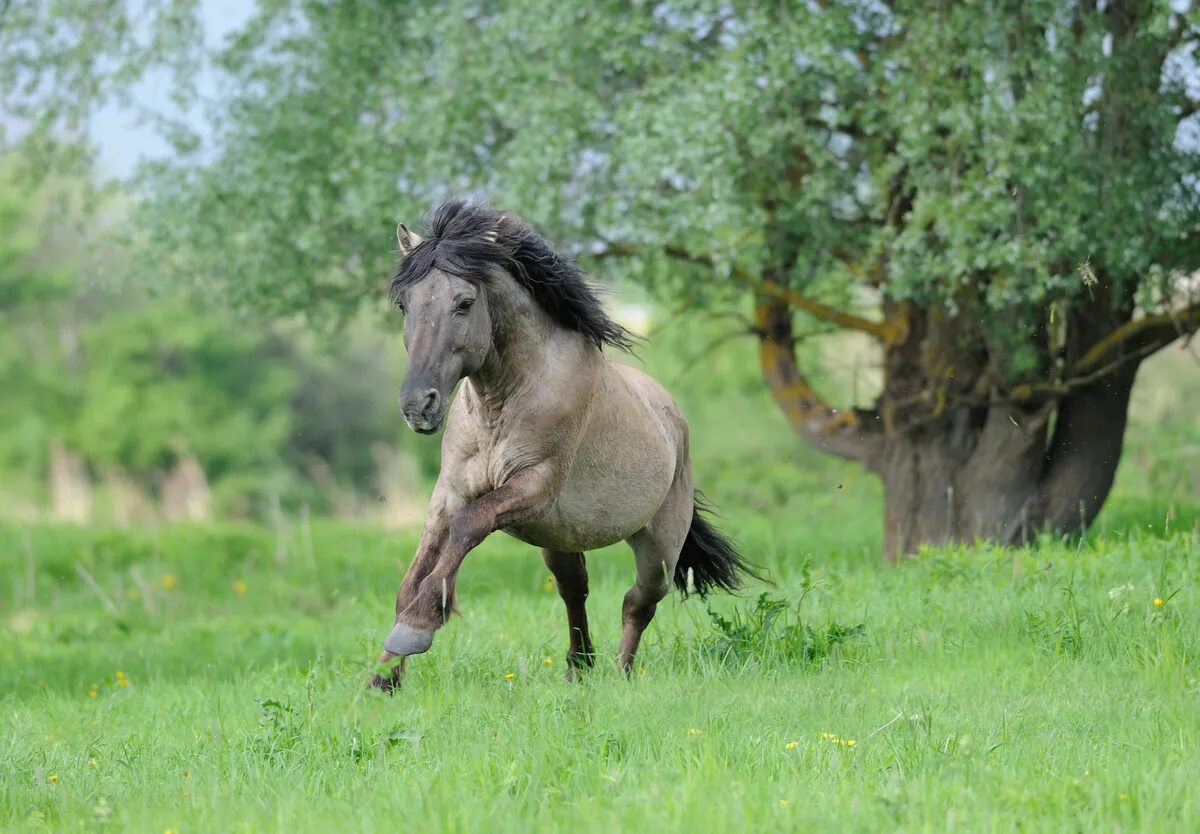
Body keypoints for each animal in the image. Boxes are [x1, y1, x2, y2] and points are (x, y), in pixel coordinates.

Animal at [369, 200, 753, 691]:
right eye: (404, 304)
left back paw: (619, 675)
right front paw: (384, 674)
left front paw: (418, 627)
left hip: (658, 546)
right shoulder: (450, 491)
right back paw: (578, 668)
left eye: (464, 303)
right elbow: (416, 571)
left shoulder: (533, 485)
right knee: (575, 588)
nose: (419, 406)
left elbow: (468, 527)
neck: (503, 403)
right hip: (557, 536)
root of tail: (673, 419)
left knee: (639, 601)